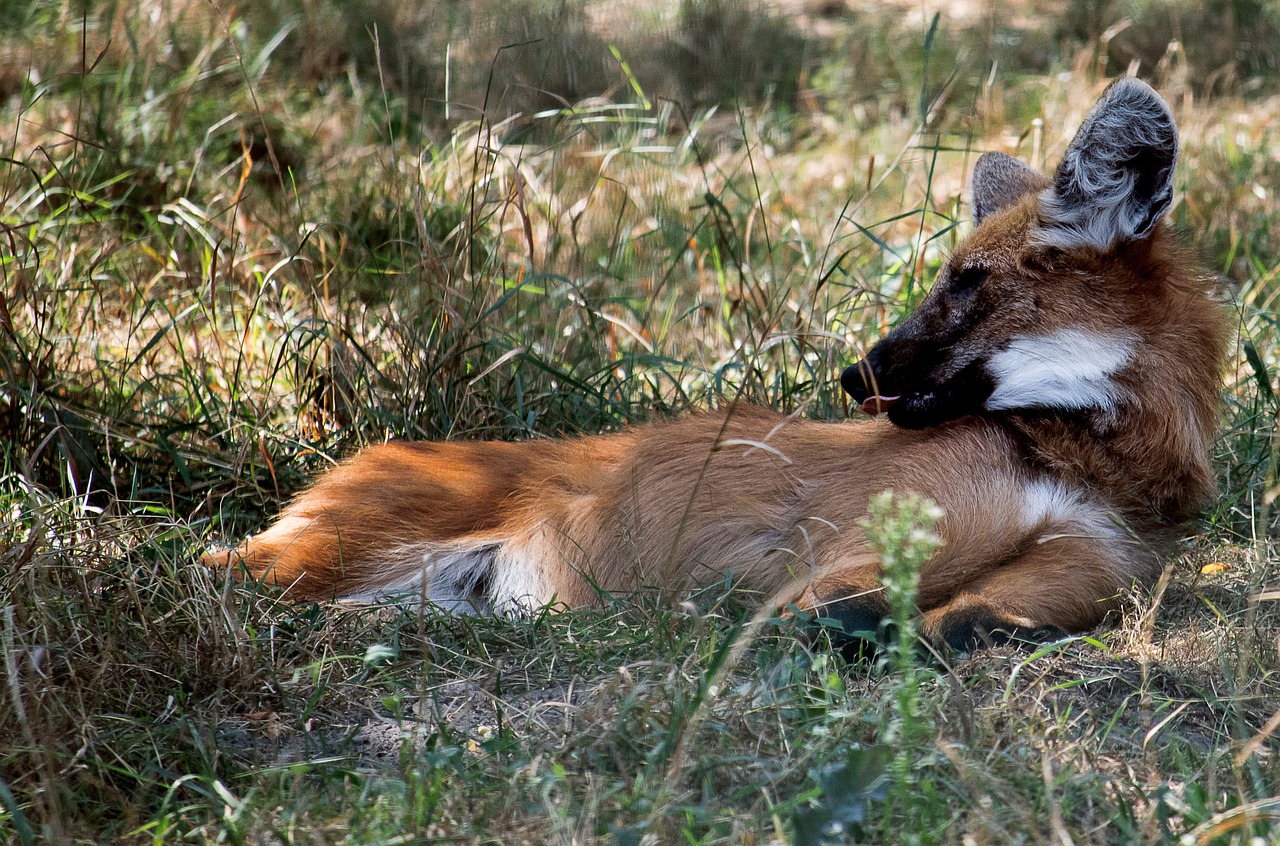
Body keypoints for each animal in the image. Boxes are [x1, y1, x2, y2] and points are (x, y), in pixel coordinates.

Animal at [209, 77, 1228, 647]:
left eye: (969, 281)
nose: (854, 378)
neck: (1074, 454)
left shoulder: (1087, 565)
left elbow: (977, 621)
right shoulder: (857, 546)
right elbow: (842, 606)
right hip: (323, 557)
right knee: (213, 567)